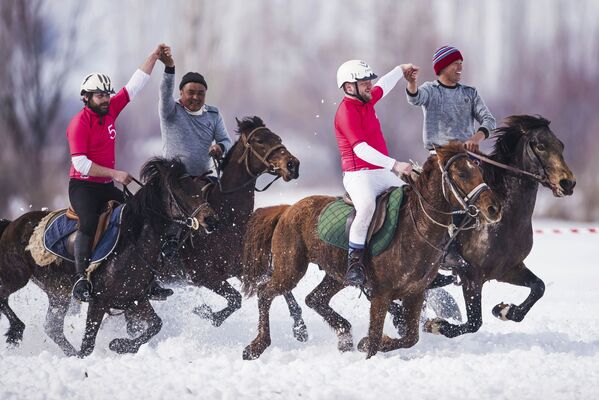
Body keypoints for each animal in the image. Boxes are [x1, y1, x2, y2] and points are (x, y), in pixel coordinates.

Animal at [0, 156, 218, 356]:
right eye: (180, 191)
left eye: (199, 189)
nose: (211, 220)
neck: (134, 244)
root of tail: (12, 224)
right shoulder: (99, 302)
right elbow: (88, 345)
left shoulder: (134, 299)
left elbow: (156, 324)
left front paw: (119, 345)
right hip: (16, 277)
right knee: (4, 297)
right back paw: (17, 331)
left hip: (58, 292)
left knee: (52, 327)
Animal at [241, 141, 504, 360]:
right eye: (462, 173)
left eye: (480, 171)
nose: (494, 208)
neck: (417, 228)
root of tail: (287, 209)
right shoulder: (381, 293)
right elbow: (378, 336)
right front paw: (369, 349)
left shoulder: (415, 293)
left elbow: (410, 337)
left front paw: (364, 343)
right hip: (290, 269)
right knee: (266, 293)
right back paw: (256, 346)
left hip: (337, 274)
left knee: (315, 298)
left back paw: (345, 338)